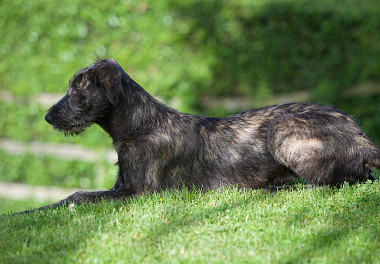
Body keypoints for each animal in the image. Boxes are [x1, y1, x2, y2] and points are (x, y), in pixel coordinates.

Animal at [30, 58, 380, 211]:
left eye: (77, 89)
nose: (47, 116)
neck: (140, 123)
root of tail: (361, 136)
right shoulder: (123, 185)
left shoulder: (137, 192)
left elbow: (75, 197)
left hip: (282, 128)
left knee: (331, 182)